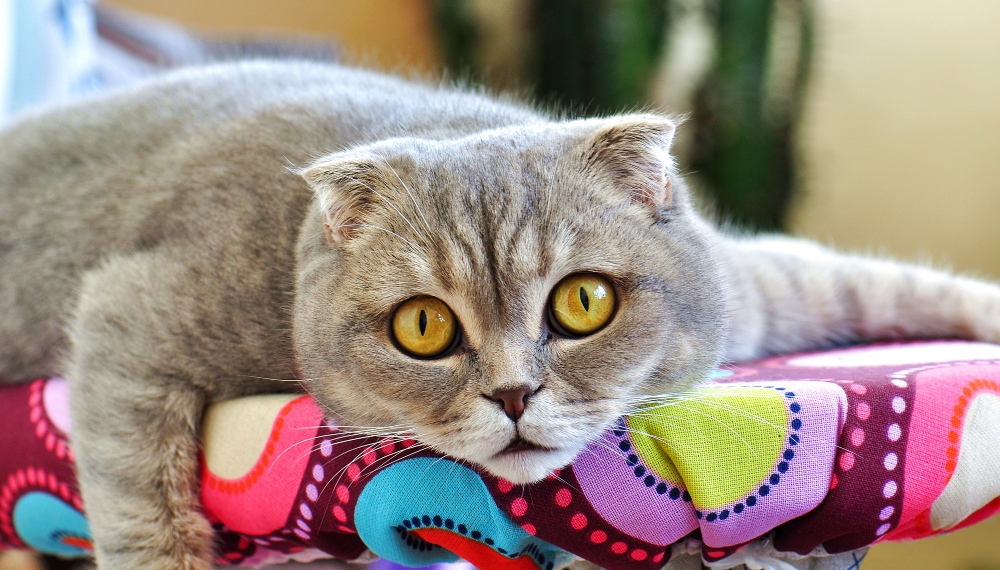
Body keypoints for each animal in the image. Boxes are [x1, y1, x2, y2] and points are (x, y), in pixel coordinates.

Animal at [1, 60, 1000, 564]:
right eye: (423, 327)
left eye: (584, 301)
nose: (515, 395)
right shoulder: (133, 318)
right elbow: (144, 510)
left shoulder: (753, 286)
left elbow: (864, 280)